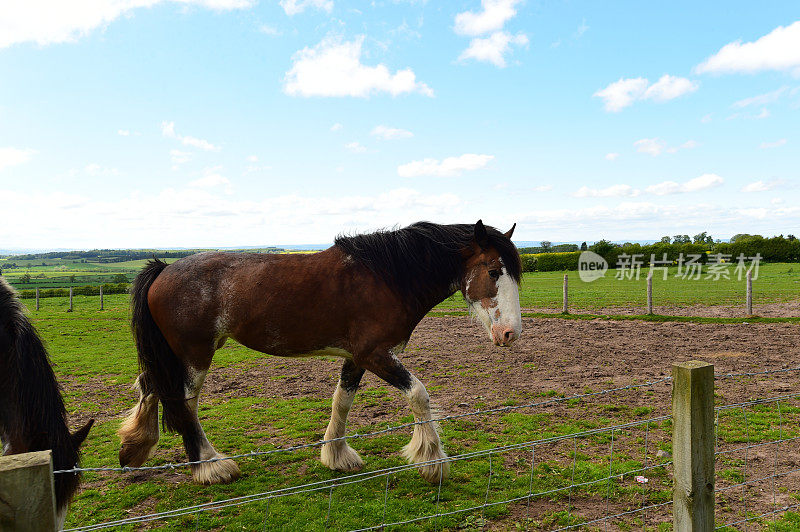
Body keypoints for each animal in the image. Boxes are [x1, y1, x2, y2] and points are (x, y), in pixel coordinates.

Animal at [117, 220, 520, 486]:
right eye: (493, 271)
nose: (510, 333)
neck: (387, 277)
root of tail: (165, 269)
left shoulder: (357, 358)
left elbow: (342, 401)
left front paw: (337, 456)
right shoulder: (376, 355)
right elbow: (419, 394)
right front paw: (432, 462)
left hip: (175, 355)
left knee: (151, 385)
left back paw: (134, 449)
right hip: (194, 355)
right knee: (184, 402)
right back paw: (209, 467)